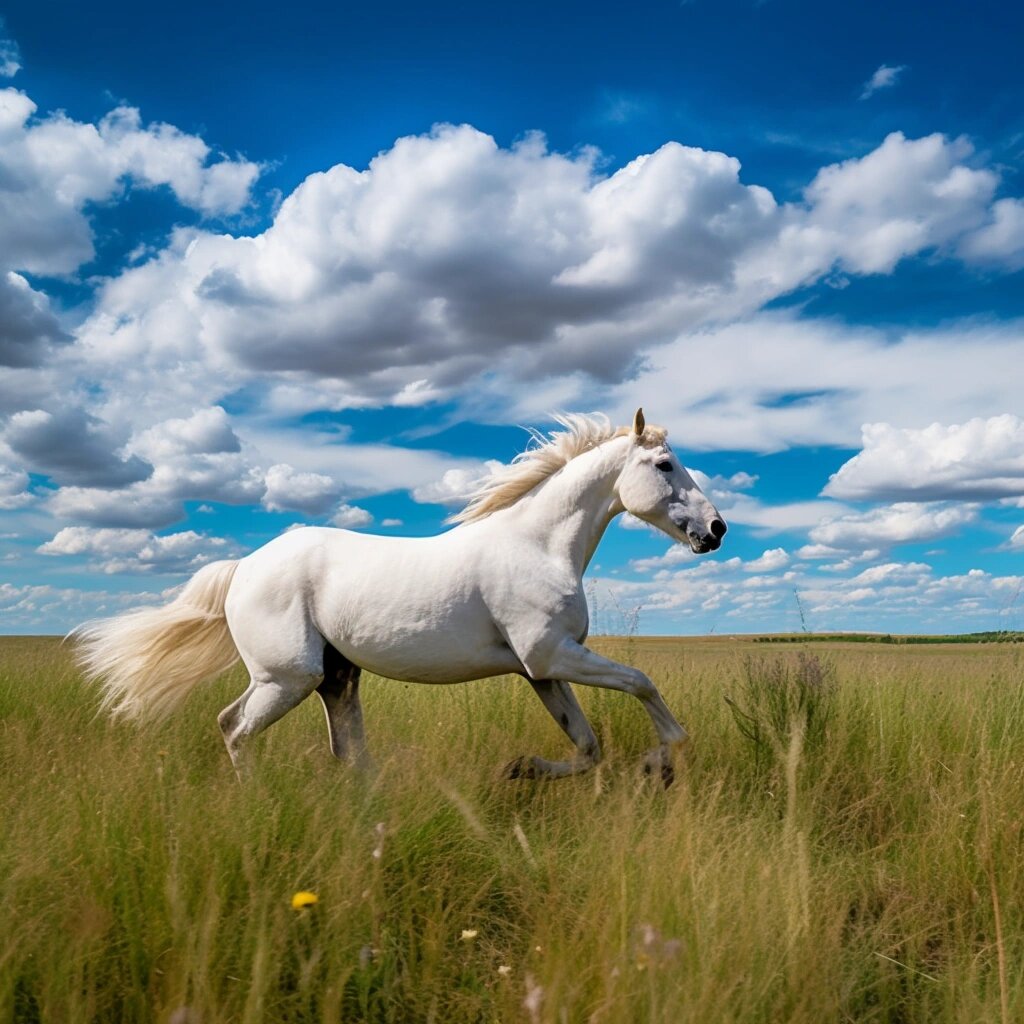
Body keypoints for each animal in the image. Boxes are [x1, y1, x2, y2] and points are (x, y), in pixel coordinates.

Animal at [73, 409, 727, 782]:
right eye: (664, 465)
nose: (716, 530)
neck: (537, 544)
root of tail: (243, 568)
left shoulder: (541, 671)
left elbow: (588, 747)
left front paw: (520, 770)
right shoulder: (553, 657)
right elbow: (642, 683)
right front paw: (660, 763)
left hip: (338, 679)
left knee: (347, 752)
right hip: (288, 677)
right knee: (234, 728)